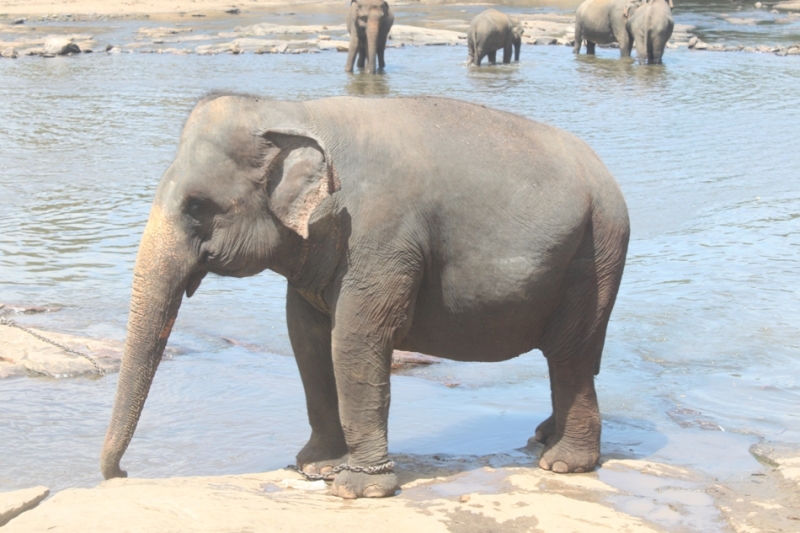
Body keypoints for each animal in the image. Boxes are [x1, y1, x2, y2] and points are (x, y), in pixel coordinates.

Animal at [97, 93, 628, 496]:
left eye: (197, 207)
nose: (120, 474)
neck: (296, 112)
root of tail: (607, 176)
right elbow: (306, 339)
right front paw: (315, 466)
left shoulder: (379, 236)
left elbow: (355, 339)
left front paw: (357, 489)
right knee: (576, 356)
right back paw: (544, 438)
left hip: (593, 255)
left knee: (569, 354)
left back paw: (563, 463)